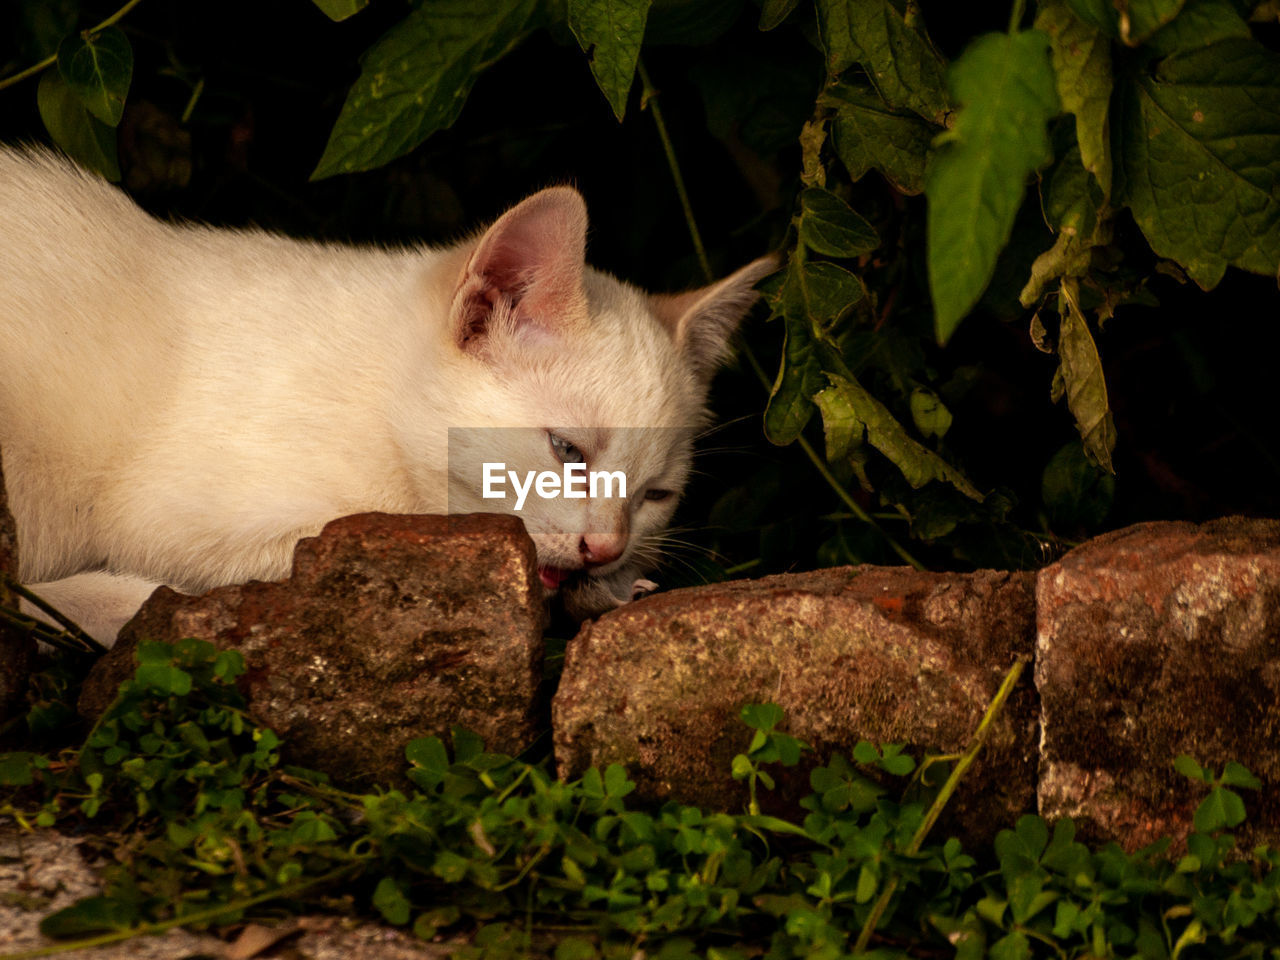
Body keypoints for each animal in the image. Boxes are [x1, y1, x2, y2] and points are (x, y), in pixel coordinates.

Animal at [0, 148, 773, 647]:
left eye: (657, 496)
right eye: (566, 449)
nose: (605, 546)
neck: (377, 396)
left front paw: (611, 585)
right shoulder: (171, 510)